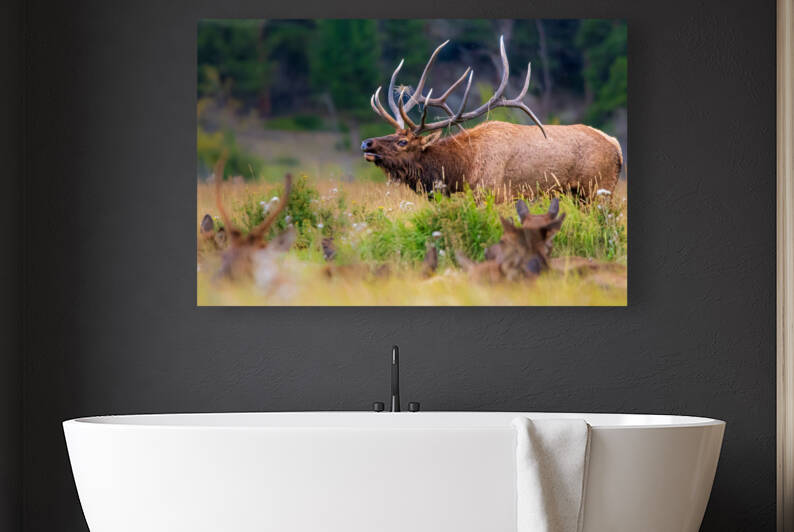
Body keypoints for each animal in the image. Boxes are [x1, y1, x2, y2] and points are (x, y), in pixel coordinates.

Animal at [361, 36, 623, 200]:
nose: (366, 143)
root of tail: (617, 147)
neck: (463, 168)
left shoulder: (495, 195)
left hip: (598, 190)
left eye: (402, 142)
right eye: (393, 134)